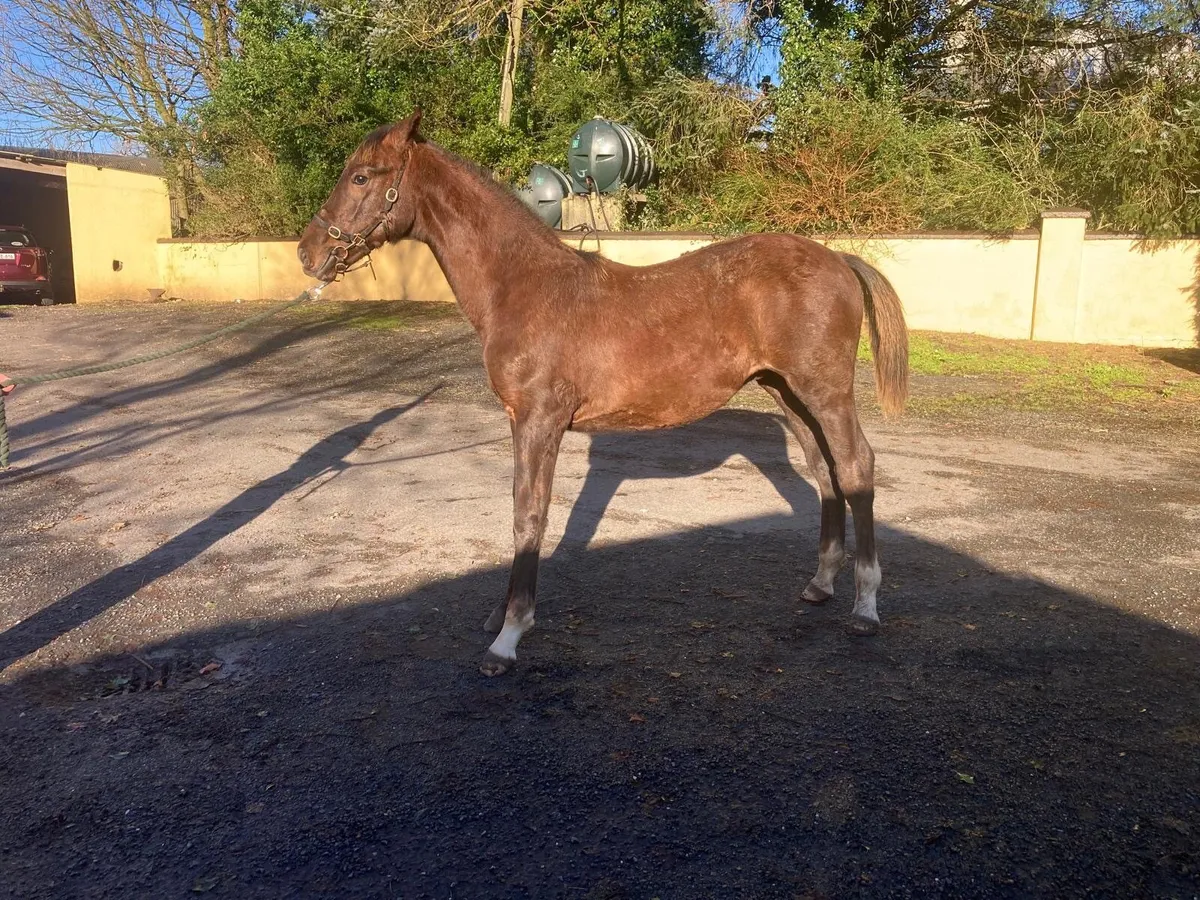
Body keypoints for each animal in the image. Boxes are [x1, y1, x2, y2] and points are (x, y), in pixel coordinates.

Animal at [298, 109, 909, 676]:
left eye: (361, 176)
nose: (307, 251)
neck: (523, 286)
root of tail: (838, 258)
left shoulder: (539, 420)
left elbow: (529, 515)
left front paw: (509, 636)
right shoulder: (523, 421)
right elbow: (523, 510)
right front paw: (500, 617)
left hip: (825, 393)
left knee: (857, 468)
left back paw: (865, 607)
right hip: (790, 394)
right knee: (826, 472)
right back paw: (821, 584)